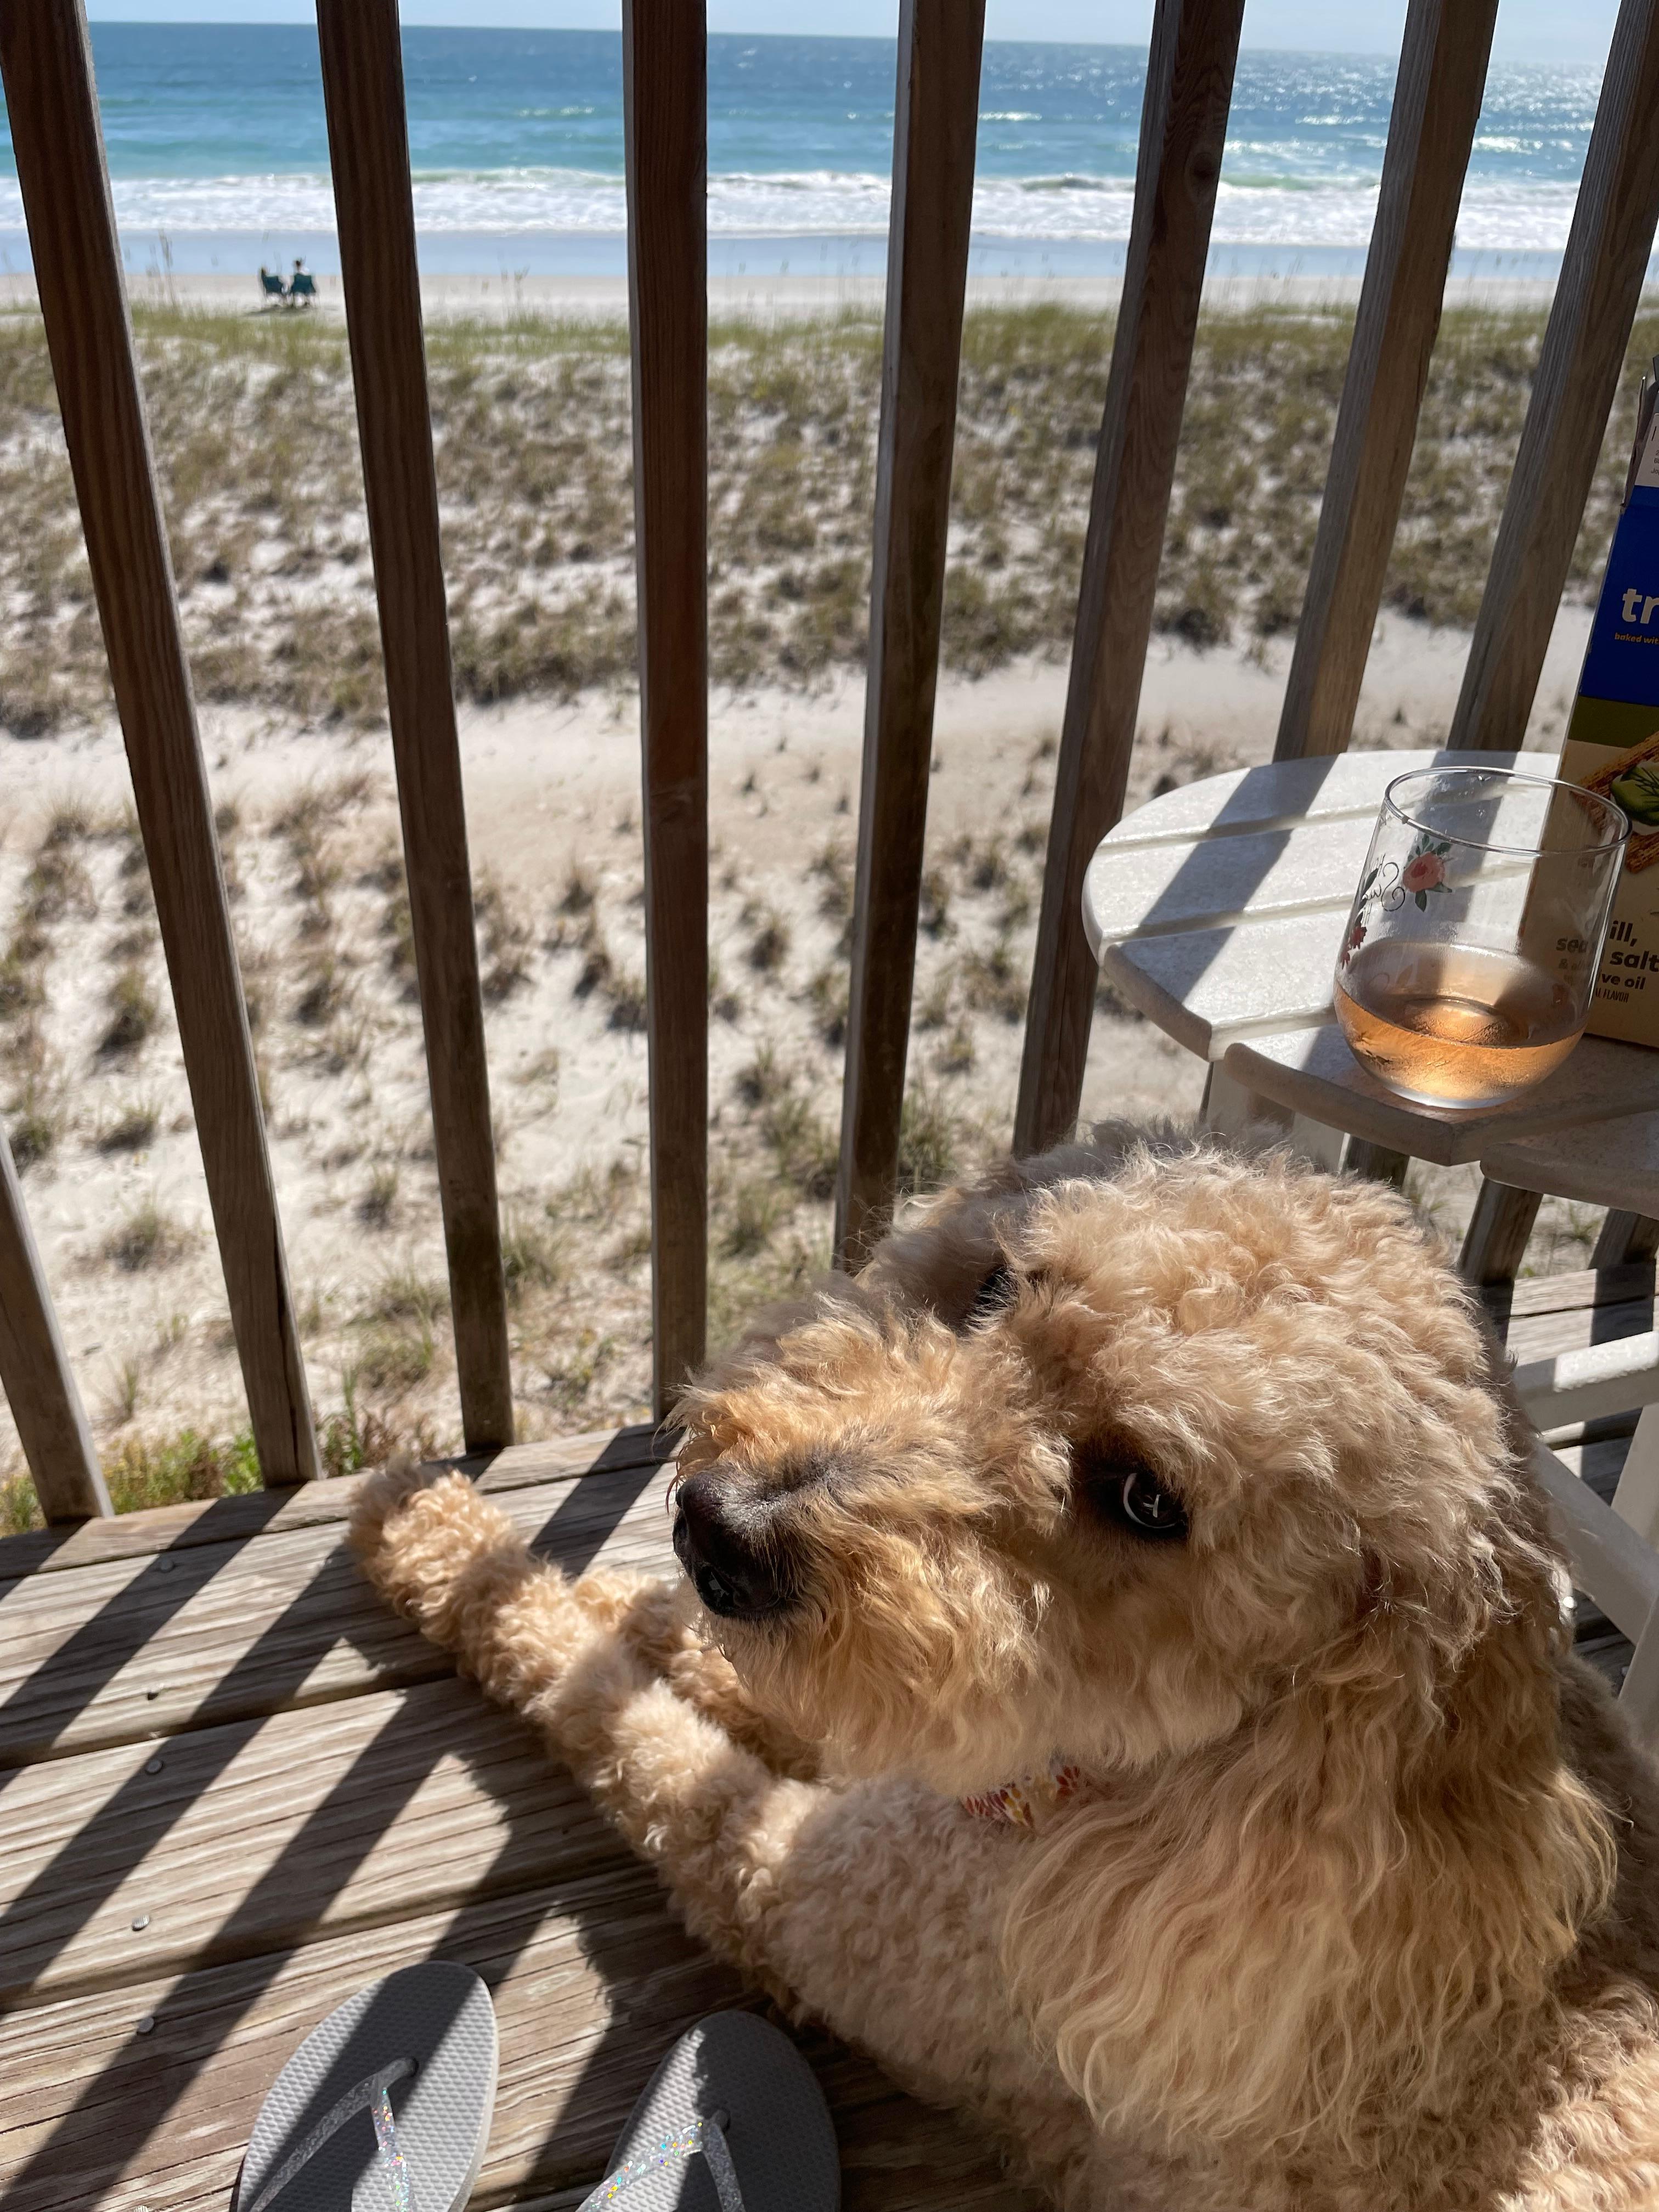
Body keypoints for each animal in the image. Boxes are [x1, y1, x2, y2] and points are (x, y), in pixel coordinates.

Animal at [347, 1132, 1659, 2203]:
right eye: (990, 1288)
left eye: (1145, 1499)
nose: (715, 1528)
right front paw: (629, 1605)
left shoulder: (814, 1898)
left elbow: (625, 1724)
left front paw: (436, 1537)